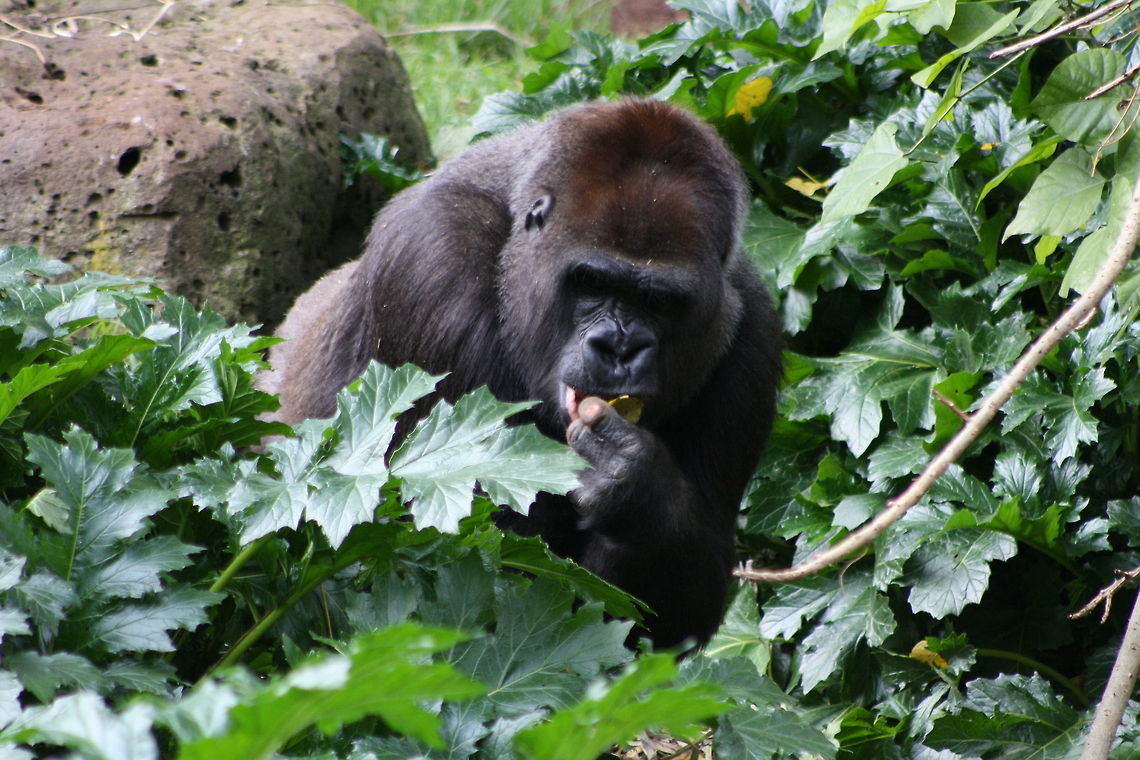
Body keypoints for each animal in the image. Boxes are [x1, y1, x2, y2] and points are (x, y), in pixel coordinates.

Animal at [260, 98, 782, 650]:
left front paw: (640, 491)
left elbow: (664, 619)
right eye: (591, 281)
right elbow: (488, 571)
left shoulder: (753, 326)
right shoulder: (432, 260)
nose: (618, 348)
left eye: (660, 301)